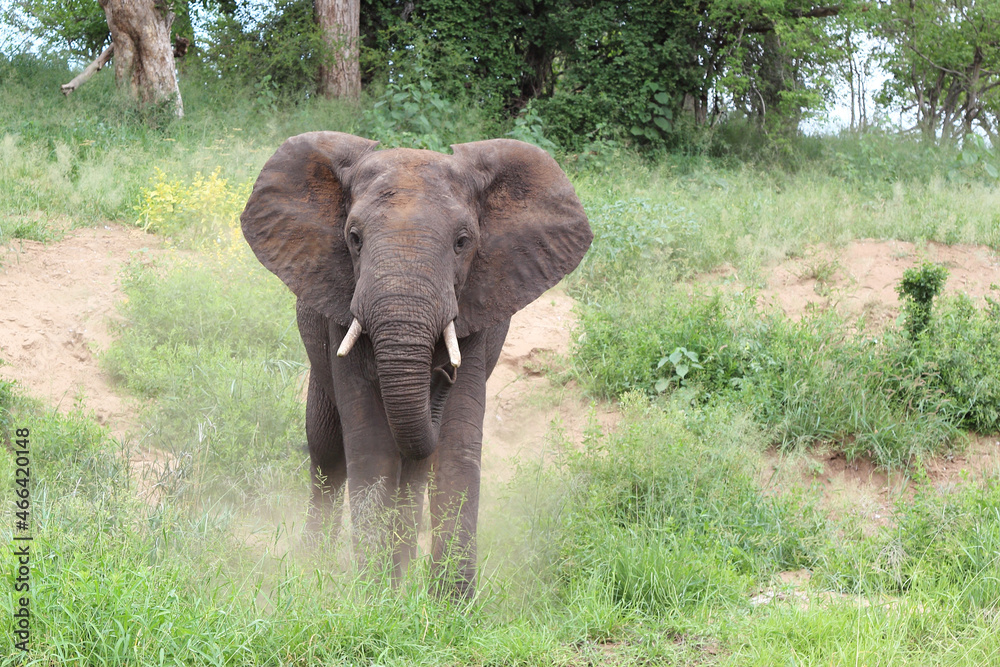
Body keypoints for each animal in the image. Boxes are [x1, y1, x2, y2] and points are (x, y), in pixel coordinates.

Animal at [238, 130, 588, 596]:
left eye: (463, 242)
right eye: (354, 238)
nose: (440, 374)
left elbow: (456, 442)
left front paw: (449, 605)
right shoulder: (342, 307)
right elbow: (370, 442)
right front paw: (372, 597)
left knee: (415, 464)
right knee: (327, 451)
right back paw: (320, 567)